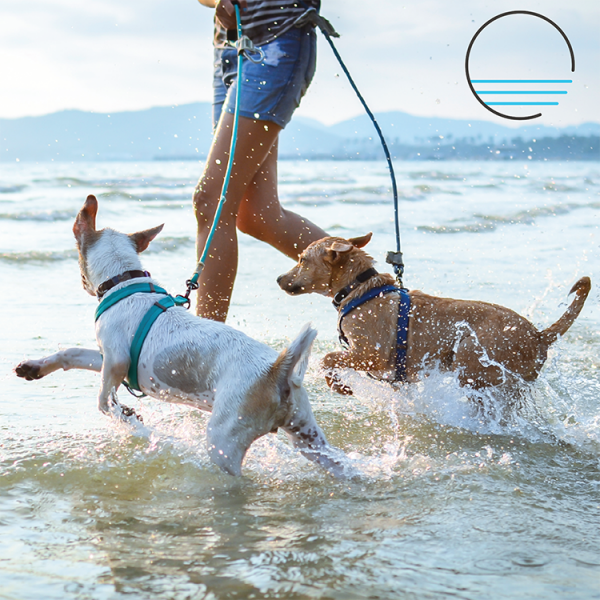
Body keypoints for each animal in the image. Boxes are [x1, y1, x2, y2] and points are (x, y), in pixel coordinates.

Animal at [16, 197, 350, 478]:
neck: (125, 281)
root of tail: (278, 370)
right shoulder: (107, 357)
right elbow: (71, 354)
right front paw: (34, 367)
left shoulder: (116, 360)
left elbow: (103, 400)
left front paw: (130, 420)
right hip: (308, 436)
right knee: (341, 463)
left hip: (224, 439)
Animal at [276, 236, 592, 398]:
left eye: (302, 259)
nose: (278, 278)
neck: (360, 289)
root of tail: (539, 336)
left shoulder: (370, 355)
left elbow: (328, 358)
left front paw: (339, 386)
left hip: (470, 355)